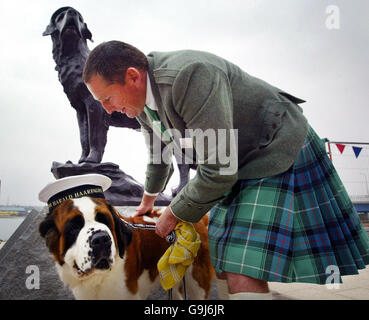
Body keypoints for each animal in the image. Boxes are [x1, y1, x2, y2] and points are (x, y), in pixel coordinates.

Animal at [38, 174, 214, 298]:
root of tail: (199, 219)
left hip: (196, 281)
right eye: (74, 226)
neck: (97, 279)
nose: (101, 239)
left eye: (104, 220)